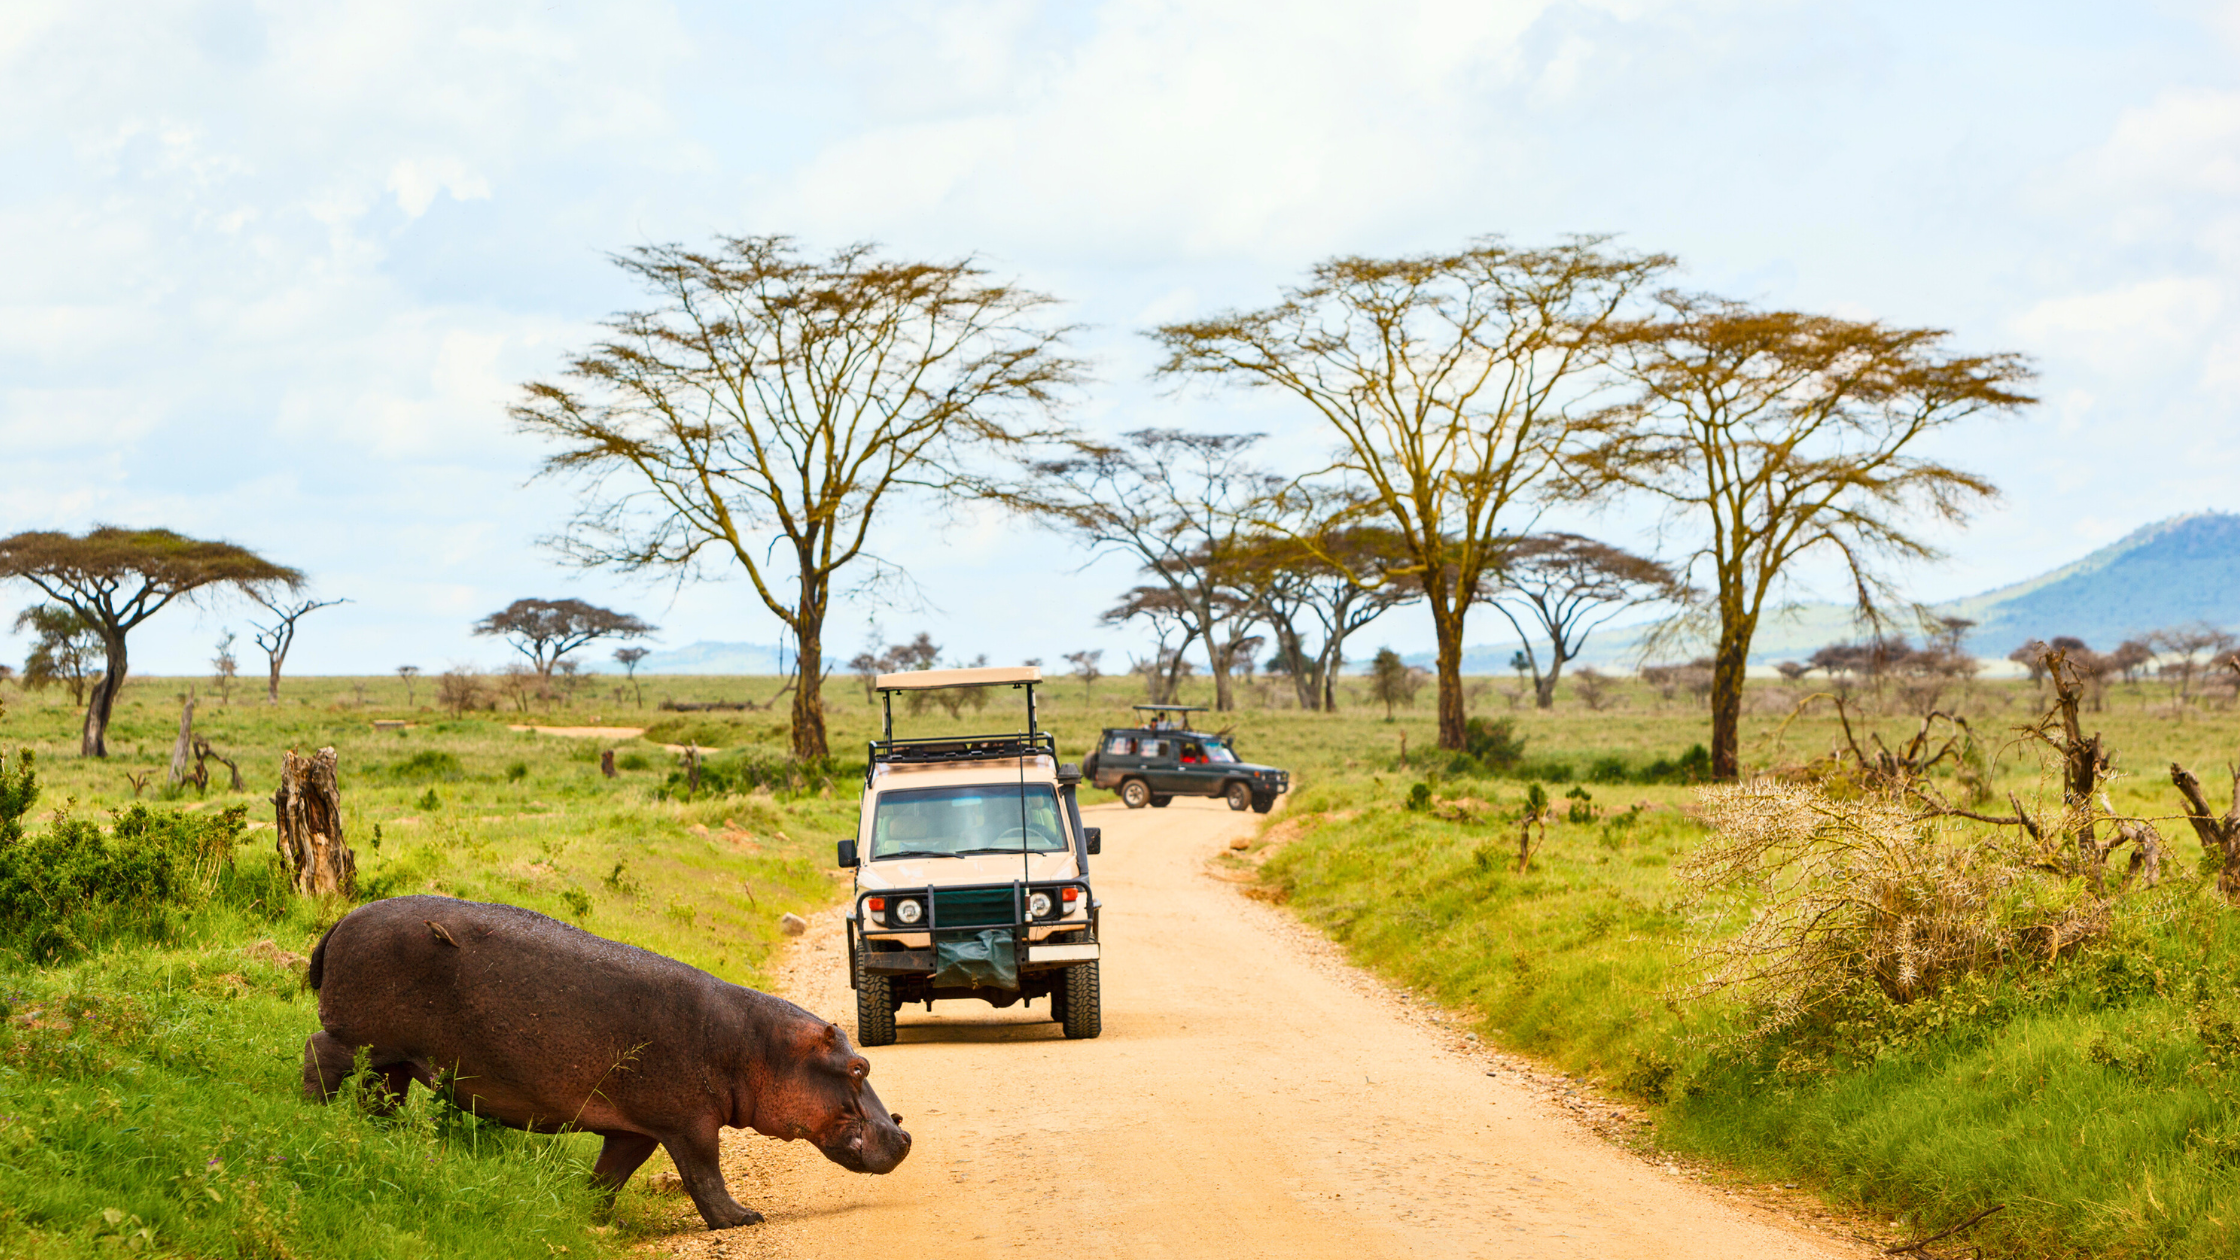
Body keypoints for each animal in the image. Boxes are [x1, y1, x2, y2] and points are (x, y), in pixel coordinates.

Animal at [302, 895, 910, 1229]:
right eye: (859, 1069)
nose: (904, 1136)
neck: (759, 1046)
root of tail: (339, 922)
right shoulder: (689, 1125)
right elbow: (706, 1175)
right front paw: (743, 1218)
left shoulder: (636, 1129)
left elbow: (611, 1174)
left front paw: (593, 1217)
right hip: (360, 1039)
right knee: (318, 1054)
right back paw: (314, 1114)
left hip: (396, 1059)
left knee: (379, 1094)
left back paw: (378, 1134)